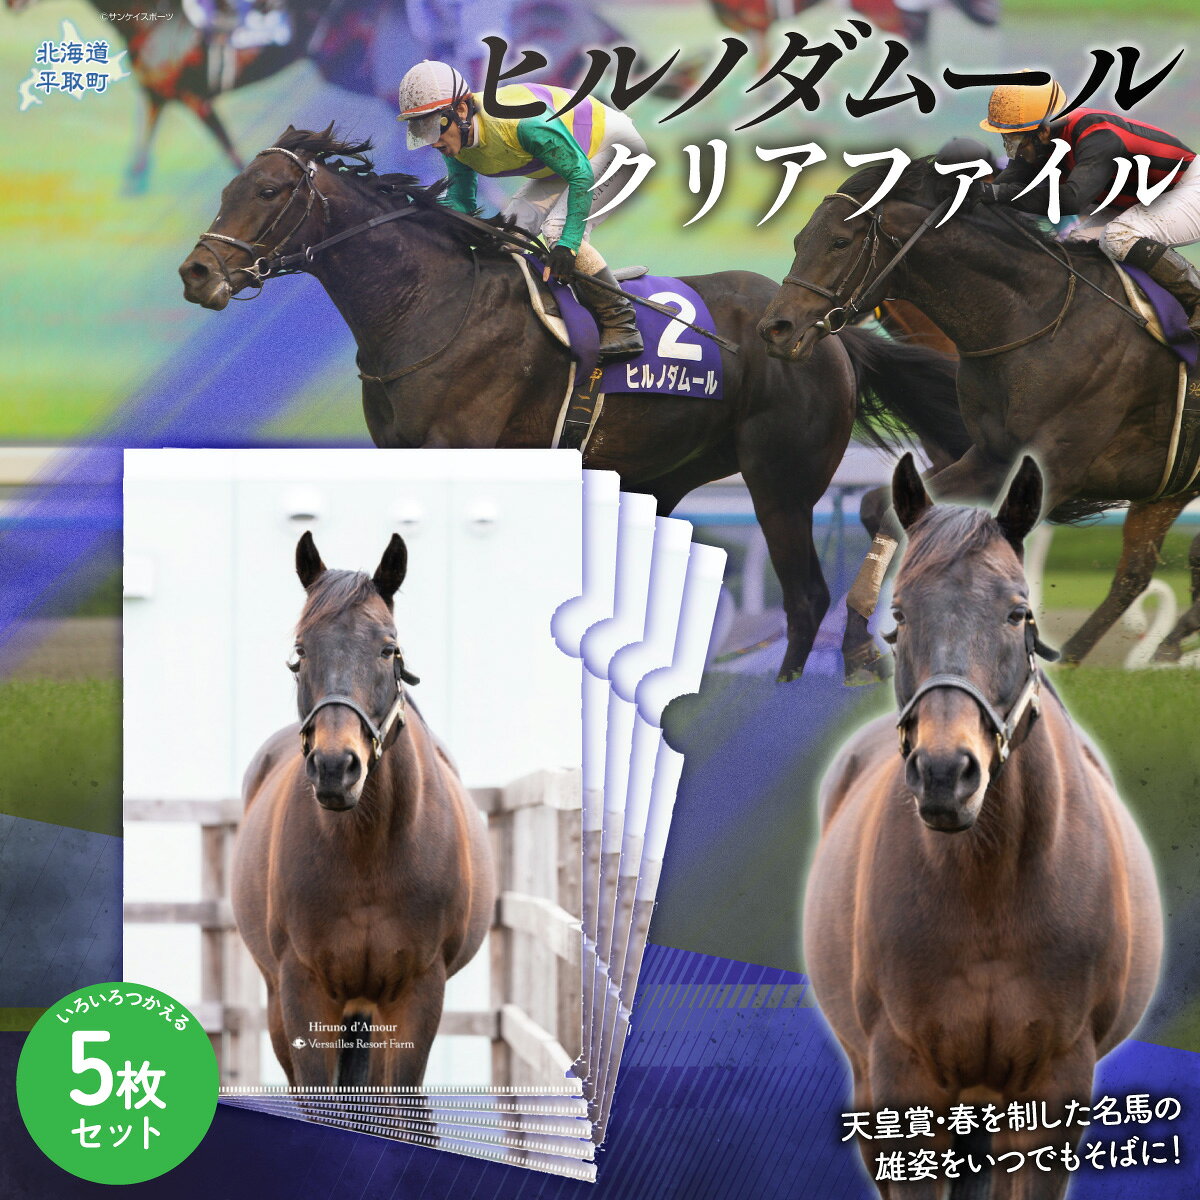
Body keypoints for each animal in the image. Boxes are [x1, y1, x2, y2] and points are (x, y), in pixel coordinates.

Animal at [178, 126, 968, 681]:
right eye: (229, 188)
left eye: (269, 193)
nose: (196, 272)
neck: (430, 302)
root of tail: (825, 330)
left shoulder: (462, 449)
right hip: (663, 477)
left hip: (781, 481)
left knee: (805, 598)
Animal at [230, 531, 495, 1087]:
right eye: (300, 651)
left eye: (388, 648)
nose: (336, 766)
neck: (368, 854)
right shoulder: (302, 992)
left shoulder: (417, 993)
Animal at [758, 155, 1200, 678]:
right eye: (798, 240)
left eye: (840, 241)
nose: (775, 328)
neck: (1033, 319)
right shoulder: (989, 457)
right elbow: (890, 514)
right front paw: (861, 648)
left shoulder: (1057, 470)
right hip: (1169, 488)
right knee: (1135, 573)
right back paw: (1104, 653)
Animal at [804, 454, 1162, 1200]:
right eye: (900, 614)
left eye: (1017, 612)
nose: (947, 772)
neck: (989, 894)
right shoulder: (904, 1083)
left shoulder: (1053, 1086)